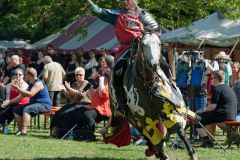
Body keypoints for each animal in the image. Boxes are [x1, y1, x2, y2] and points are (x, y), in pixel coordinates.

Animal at [107, 32, 197, 160]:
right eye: (143, 44)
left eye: (159, 44)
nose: (154, 64)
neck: (148, 84)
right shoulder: (144, 116)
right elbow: (154, 137)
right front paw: (162, 154)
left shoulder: (169, 109)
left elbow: (179, 129)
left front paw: (192, 154)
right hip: (132, 118)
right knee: (147, 135)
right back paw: (154, 151)